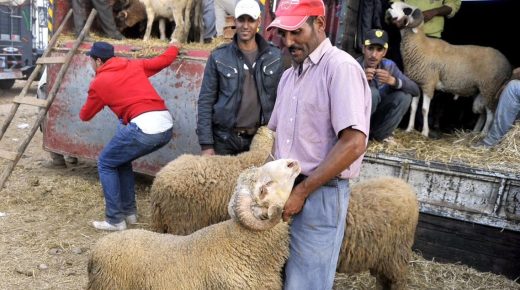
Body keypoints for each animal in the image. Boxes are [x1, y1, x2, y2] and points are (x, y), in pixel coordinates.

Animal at [386, 2, 512, 138]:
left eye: (407, 10)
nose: (390, 5)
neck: (420, 45)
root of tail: (507, 64)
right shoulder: (416, 83)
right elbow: (413, 107)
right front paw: (409, 129)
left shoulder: (428, 84)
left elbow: (424, 110)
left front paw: (424, 132)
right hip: (481, 90)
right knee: (483, 113)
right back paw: (475, 132)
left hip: (490, 88)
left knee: (491, 114)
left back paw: (483, 134)